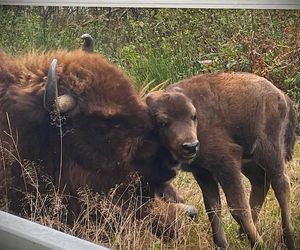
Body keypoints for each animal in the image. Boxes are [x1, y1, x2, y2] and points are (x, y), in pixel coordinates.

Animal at [146, 71, 296, 249]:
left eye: (193, 116)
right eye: (162, 122)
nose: (191, 146)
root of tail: (280, 95)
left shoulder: (227, 165)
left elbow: (238, 208)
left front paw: (259, 244)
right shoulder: (203, 173)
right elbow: (213, 208)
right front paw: (222, 244)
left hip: (269, 152)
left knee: (281, 184)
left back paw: (288, 238)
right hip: (249, 162)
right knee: (261, 183)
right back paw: (242, 235)